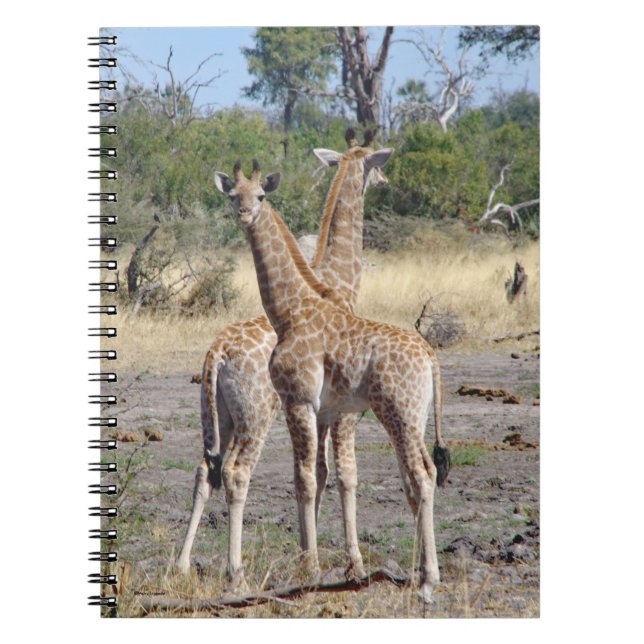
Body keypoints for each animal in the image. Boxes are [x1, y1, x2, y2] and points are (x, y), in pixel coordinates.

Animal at [176, 131, 393, 584]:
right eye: (375, 162)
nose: (384, 181)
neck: (338, 280)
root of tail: (216, 353)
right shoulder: (338, 409)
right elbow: (344, 475)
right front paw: (352, 561)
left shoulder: (320, 408)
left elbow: (318, 473)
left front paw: (306, 552)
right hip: (256, 414)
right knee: (236, 473)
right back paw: (236, 570)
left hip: (218, 414)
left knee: (205, 470)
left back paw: (183, 564)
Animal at [213, 159, 450, 603]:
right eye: (233, 195)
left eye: (261, 195)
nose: (245, 215)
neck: (290, 311)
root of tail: (430, 357)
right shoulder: (321, 408)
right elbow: (312, 476)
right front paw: (314, 561)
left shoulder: (300, 400)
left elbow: (307, 478)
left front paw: (310, 567)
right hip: (414, 418)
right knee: (420, 476)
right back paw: (420, 574)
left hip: (398, 414)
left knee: (422, 476)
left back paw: (428, 581)